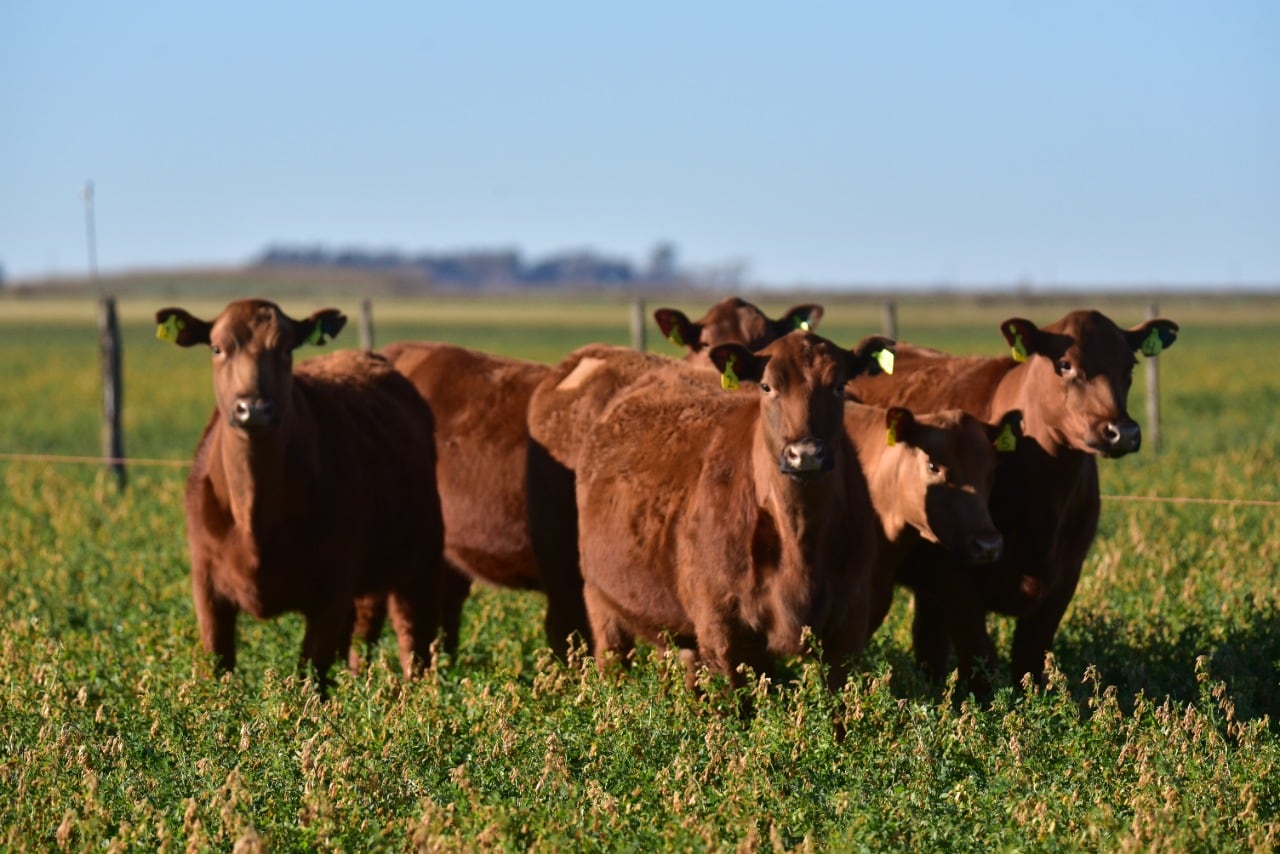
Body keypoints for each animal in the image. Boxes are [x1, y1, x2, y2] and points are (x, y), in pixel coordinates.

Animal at [156, 300, 445, 686]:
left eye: (286, 348)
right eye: (217, 348)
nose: (254, 408)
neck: (253, 517)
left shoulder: (331, 590)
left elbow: (310, 675)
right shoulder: (207, 587)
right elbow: (217, 667)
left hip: (419, 562)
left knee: (413, 640)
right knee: (361, 636)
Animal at [576, 330, 896, 691]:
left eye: (839, 385)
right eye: (767, 386)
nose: (806, 454)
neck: (800, 539)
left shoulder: (848, 627)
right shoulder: (723, 632)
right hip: (601, 604)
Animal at [849, 311, 1177, 691]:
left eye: (1130, 365)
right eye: (1064, 364)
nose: (1122, 432)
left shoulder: (1063, 581)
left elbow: (1028, 666)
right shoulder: (957, 583)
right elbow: (982, 669)